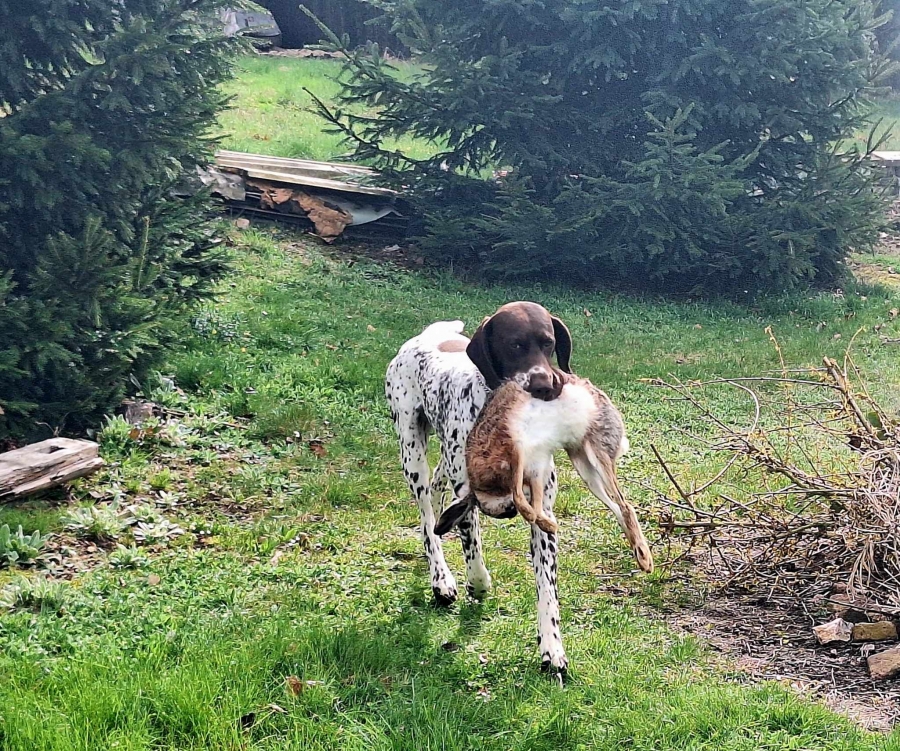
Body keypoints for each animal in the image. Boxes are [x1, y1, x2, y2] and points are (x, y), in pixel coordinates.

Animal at [384, 301, 573, 672]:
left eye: (548, 342)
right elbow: (472, 550)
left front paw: (551, 647)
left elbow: (547, 588)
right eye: (514, 344)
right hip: (411, 453)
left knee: (437, 492)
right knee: (427, 520)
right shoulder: (468, 497)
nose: (545, 385)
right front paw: (477, 583)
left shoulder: (542, 515)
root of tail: (427, 335)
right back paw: (441, 577)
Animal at [435, 377, 654, 574]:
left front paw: (539, 519)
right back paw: (642, 556)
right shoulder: (536, 470)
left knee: (625, 505)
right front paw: (548, 525)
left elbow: (521, 499)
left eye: (505, 511)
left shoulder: (514, 451)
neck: (489, 486)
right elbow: (536, 504)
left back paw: (644, 556)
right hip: (584, 468)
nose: (511, 514)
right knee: (617, 507)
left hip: (598, 453)